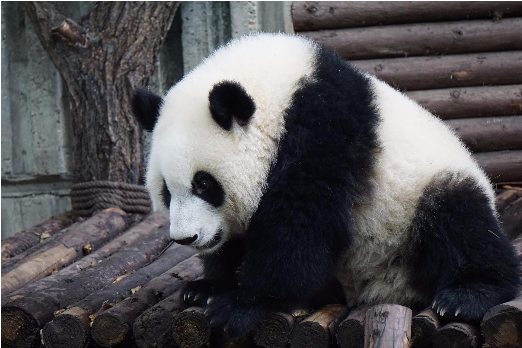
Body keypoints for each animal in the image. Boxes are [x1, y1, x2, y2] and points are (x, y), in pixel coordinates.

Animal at [132, 33, 516, 338]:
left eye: (204, 184)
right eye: (166, 191)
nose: (187, 238)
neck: (279, 91)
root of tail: (385, 288)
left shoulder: (323, 133)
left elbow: (300, 228)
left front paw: (240, 305)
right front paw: (206, 288)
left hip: (421, 199)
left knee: (459, 221)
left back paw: (466, 295)